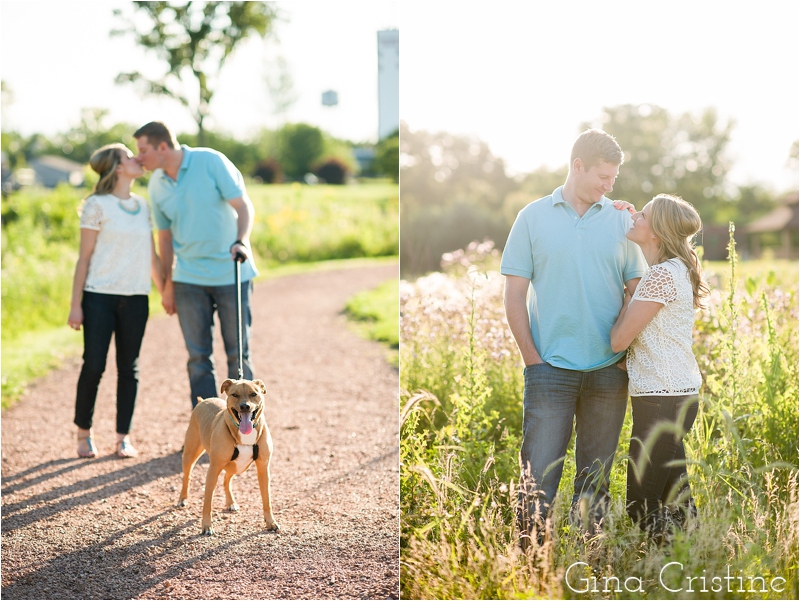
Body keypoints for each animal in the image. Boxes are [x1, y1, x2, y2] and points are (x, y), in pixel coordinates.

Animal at [177, 378, 280, 532]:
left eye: (253, 394)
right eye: (234, 395)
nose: (245, 406)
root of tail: (203, 401)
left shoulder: (263, 468)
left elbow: (267, 500)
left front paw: (271, 522)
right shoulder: (213, 469)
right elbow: (207, 502)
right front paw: (206, 526)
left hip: (235, 467)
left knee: (226, 480)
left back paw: (231, 502)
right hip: (190, 454)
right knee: (187, 477)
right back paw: (182, 499)